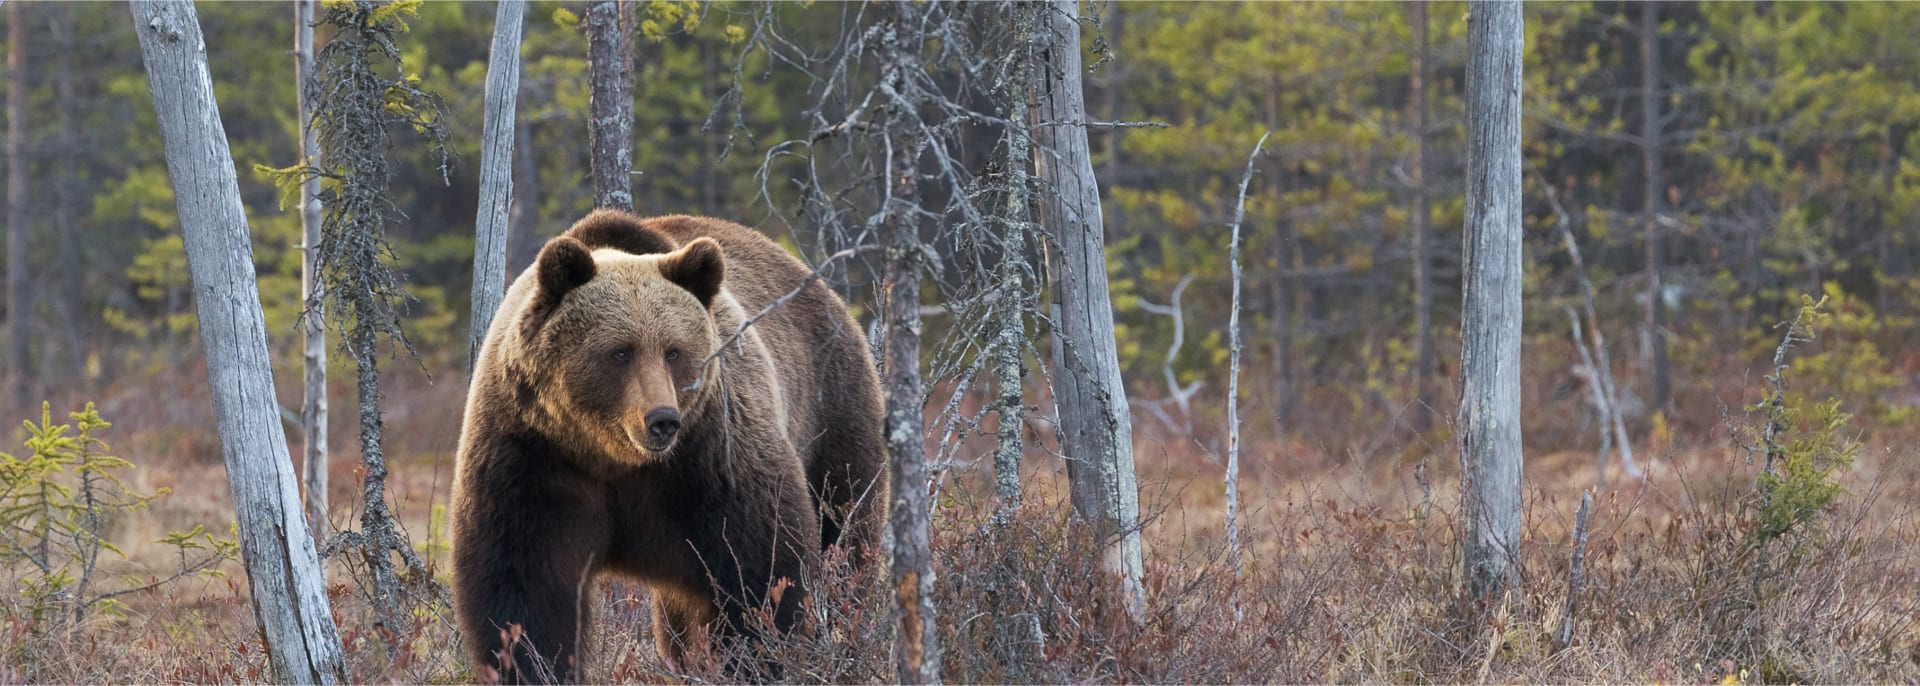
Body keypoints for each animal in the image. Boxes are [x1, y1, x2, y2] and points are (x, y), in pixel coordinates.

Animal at [453, 211, 887, 680]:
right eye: (620, 352)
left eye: (674, 351)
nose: (662, 420)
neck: (613, 458)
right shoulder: (531, 455)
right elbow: (524, 589)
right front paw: (535, 665)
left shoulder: (711, 456)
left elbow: (761, 570)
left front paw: (756, 660)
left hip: (832, 412)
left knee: (844, 535)